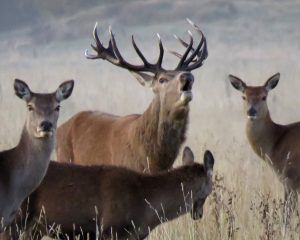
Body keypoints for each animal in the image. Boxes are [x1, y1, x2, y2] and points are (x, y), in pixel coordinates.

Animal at [55, 19, 207, 172]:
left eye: (186, 73)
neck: (151, 159)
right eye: (162, 79)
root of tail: (61, 127)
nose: (187, 76)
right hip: (64, 157)